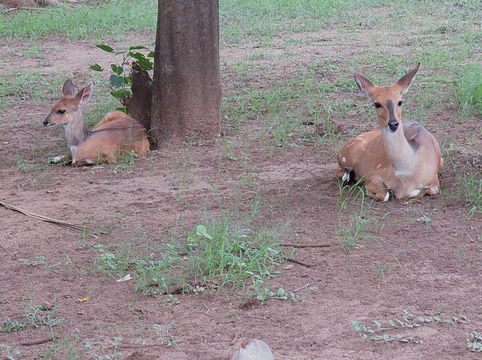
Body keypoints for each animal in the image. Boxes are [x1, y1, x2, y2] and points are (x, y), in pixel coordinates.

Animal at [338, 63, 442, 201]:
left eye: (400, 101)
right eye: (377, 104)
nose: (393, 124)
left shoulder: (434, 181)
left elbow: (428, 190)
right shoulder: (374, 176)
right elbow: (384, 194)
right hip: (345, 157)